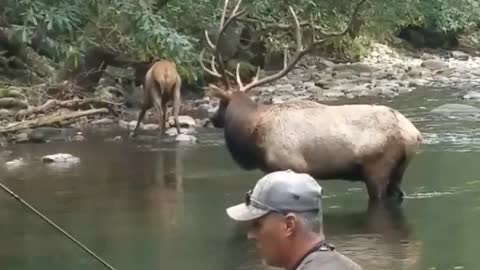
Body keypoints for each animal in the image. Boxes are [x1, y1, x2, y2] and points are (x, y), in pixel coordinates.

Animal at [201, 0, 422, 204]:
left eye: (221, 104)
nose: (212, 119)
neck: (253, 135)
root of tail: (414, 134)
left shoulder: (289, 164)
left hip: (377, 166)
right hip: (399, 171)